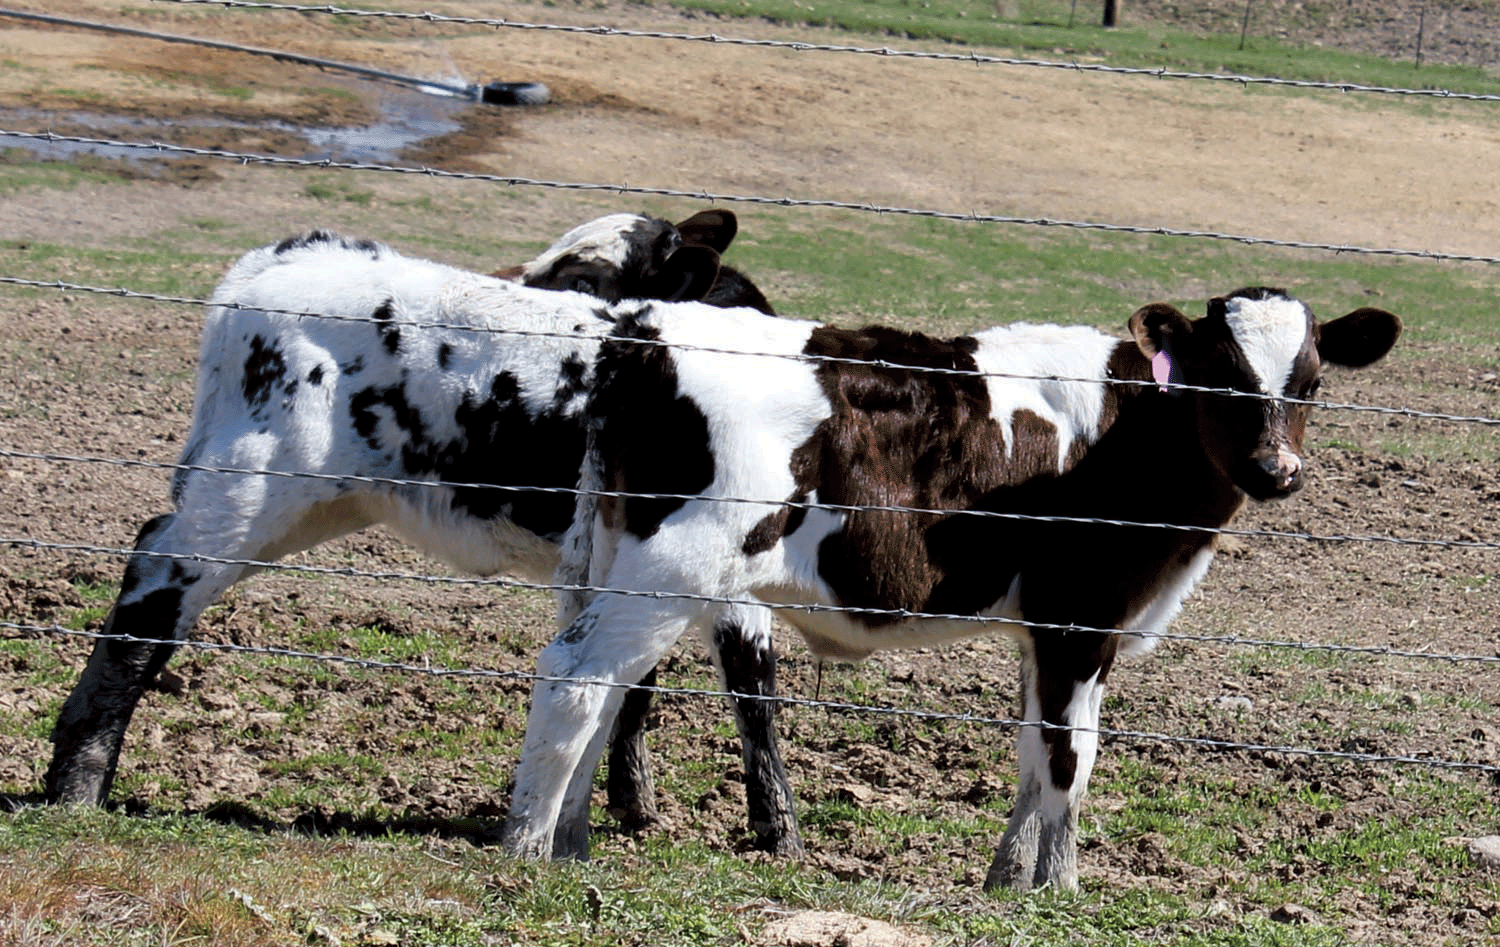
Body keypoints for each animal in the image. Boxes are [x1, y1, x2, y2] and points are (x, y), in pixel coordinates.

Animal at [499, 287, 1402, 890]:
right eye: (1222, 376)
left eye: (1312, 383)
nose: (1275, 469)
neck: (1134, 430)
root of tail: (647, 334)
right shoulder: (1080, 618)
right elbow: (1073, 753)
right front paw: (1061, 887)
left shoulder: (1044, 628)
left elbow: (1034, 752)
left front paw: (1009, 880)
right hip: (672, 568)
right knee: (576, 677)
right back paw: (526, 846)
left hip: (617, 559)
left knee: (608, 687)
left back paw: (571, 838)